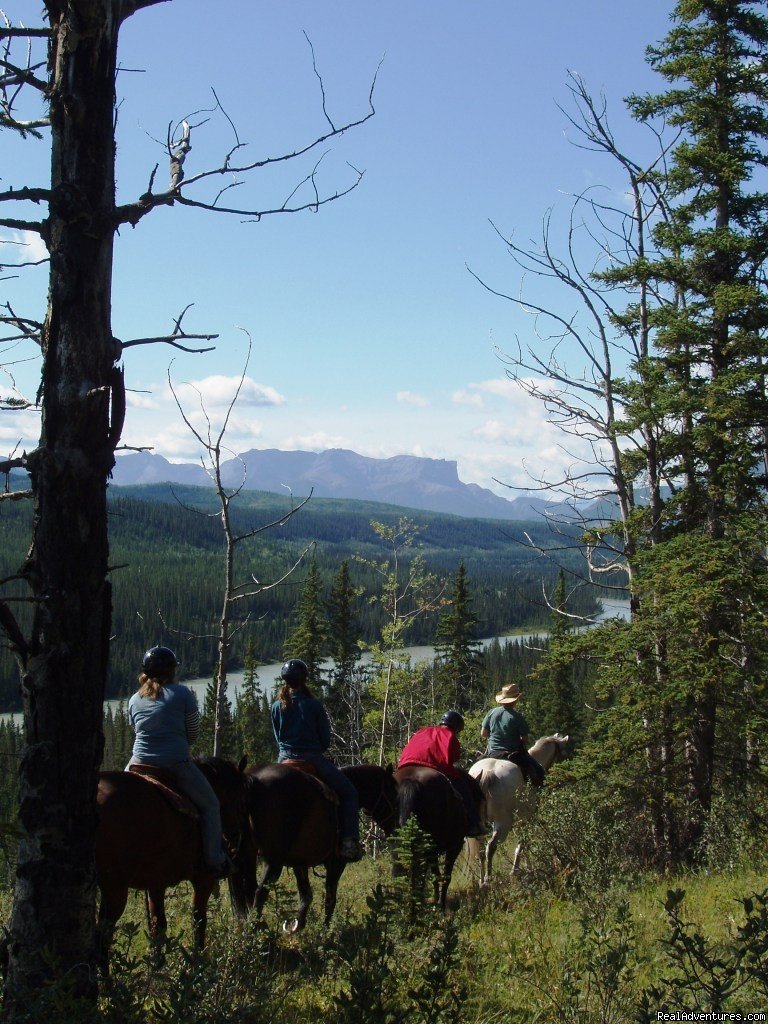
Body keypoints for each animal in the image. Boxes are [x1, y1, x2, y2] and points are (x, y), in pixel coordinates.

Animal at [94, 753, 246, 966]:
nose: (237, 838)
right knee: (101, 940)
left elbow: (158, 927)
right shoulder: (204, 879)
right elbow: (198, 919)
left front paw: (157, 966)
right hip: (114, 888)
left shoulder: (155, 883)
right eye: (240, 796)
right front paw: (198, 960)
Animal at [228, 761, 397, 937]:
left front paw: (296, 926)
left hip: (245, 853)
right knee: (259, 892)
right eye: (394, 792)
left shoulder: (299, 862)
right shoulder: (336, 863)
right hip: (272, 859)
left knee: (244, 891)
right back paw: (257, 931)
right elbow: (330, 897)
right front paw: (326, 931)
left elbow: (306, 895)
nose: (395, 827)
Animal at [466, 733, 569, 884]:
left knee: (480, 850)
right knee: (491, 846)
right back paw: (488, 880)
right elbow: (523, 843)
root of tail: (487, 773)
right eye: (563, 751)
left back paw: (481, 880)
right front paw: (518, 870)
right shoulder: (527, 818)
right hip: (503, 822)